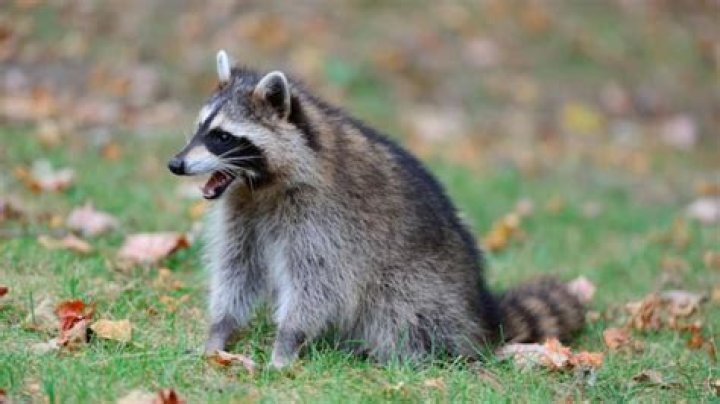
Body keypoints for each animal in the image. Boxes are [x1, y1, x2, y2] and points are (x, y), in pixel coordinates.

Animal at [167, 50, 585, 368]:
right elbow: (239, 267)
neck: (261, 185)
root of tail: (478, 315)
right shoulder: (244, 210)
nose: (175, 164)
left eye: (222, 137)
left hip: (424, 284)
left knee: (400, 308)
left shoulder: (322, 219)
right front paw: (220, 329)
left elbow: (318, 283)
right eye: (200, 128)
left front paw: (287, 342)